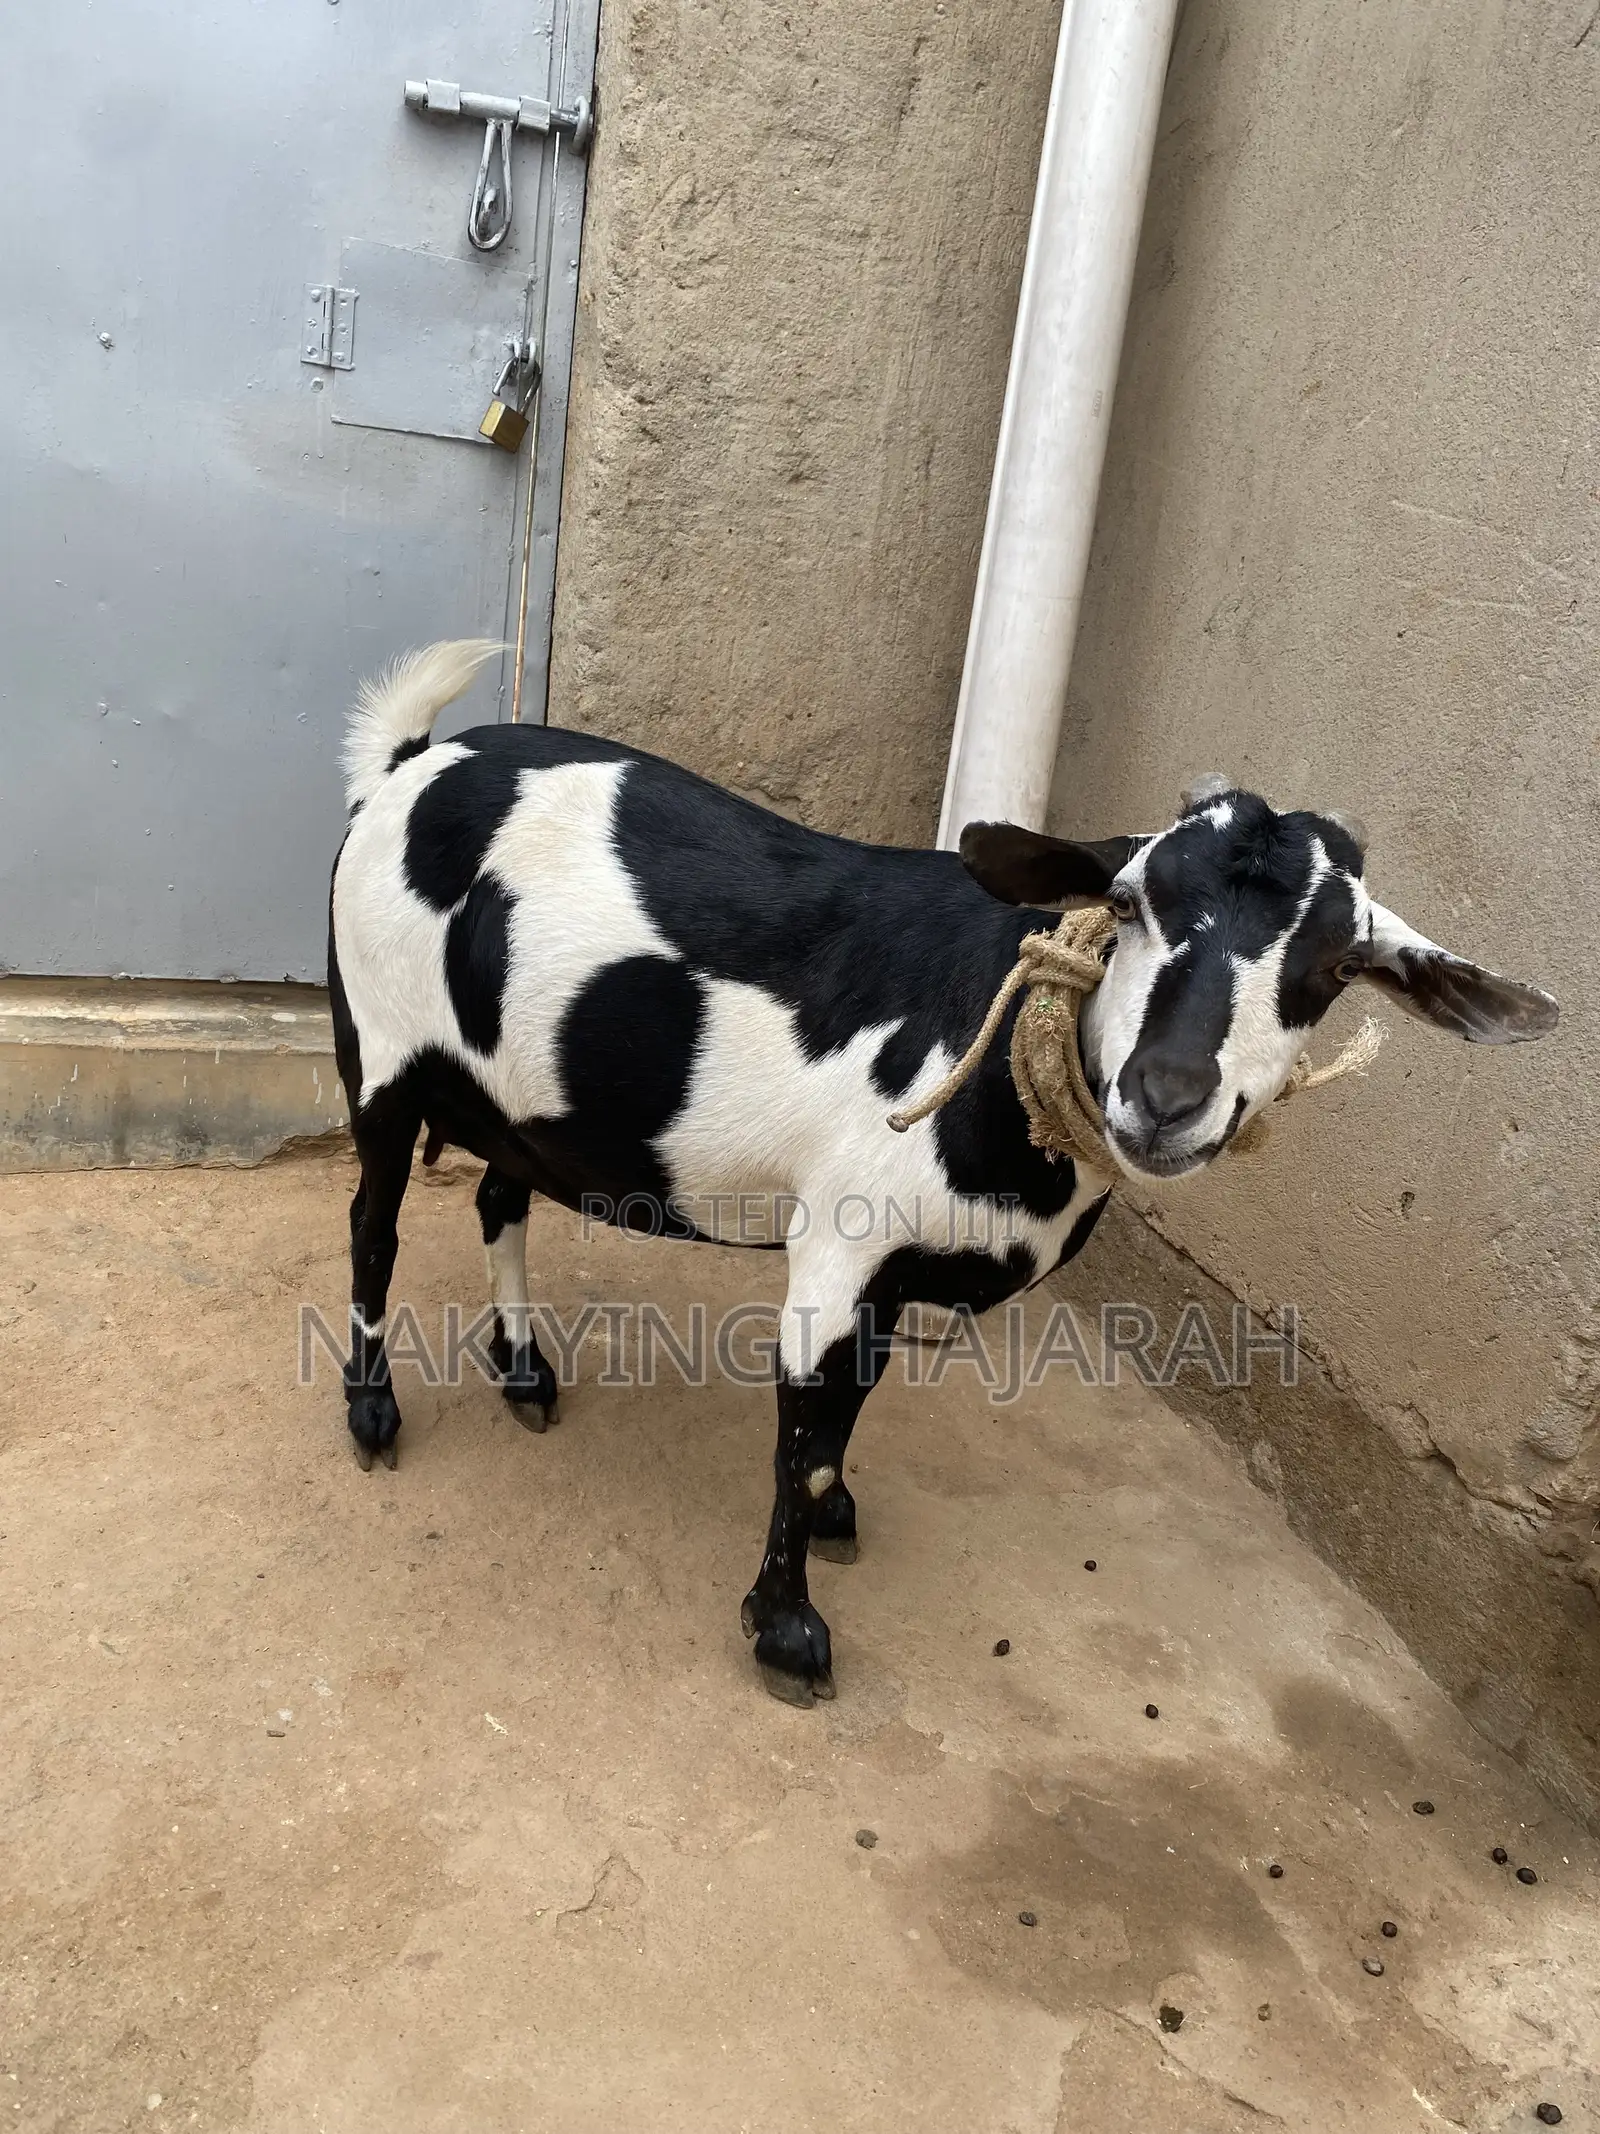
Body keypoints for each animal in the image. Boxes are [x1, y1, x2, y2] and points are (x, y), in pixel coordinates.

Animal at [328, 643, 1558, 1703]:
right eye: (1126, 902)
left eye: (1340, 964)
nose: (1166, 1095)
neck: (998, 1055)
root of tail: (410, 763)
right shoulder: (838, 1246)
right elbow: (805, 1434)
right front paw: (786, 1630)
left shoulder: (894, 1270)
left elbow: (847, 1417)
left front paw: (831, 1522)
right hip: (380, 1045)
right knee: (372, 1226)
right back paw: (374, 1411)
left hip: (522, 1095)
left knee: (498, 1192)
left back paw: (524, 1372)